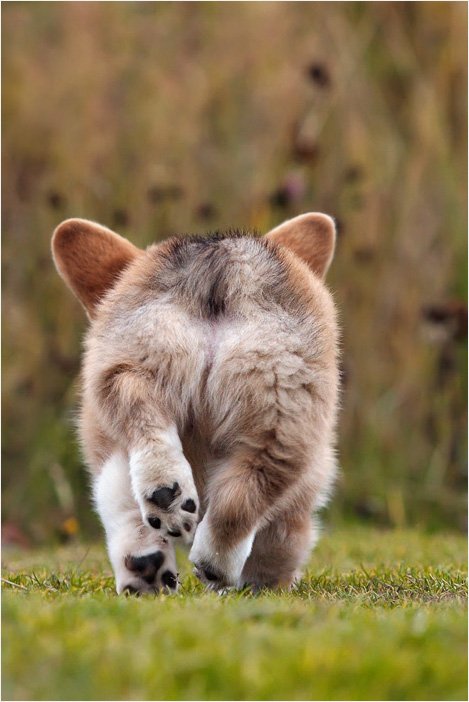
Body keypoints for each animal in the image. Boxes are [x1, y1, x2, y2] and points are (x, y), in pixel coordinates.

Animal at [51, 214, 338, 592]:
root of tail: (218, 265)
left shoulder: (107, 444)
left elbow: (121, 505)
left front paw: (145, 565)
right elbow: (281, 544)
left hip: (137, 366)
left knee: (149, 428)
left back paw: (165, 496)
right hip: (289, 410)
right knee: (247, 494)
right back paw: (215, 563)